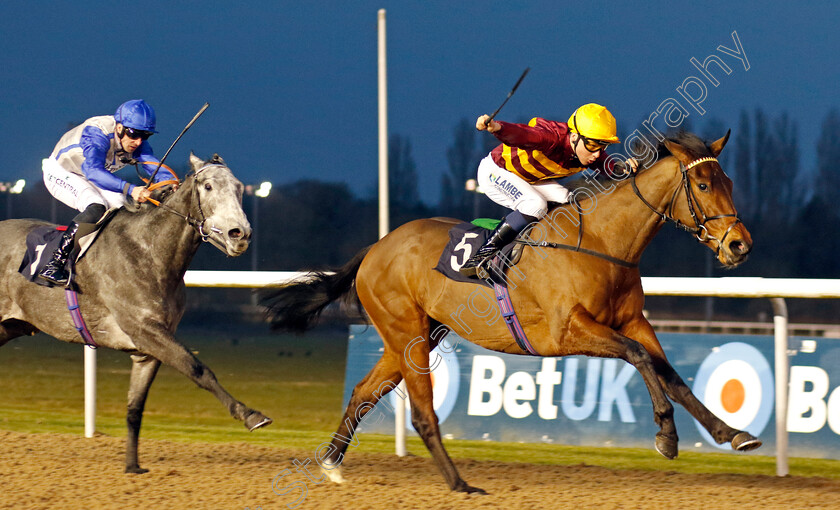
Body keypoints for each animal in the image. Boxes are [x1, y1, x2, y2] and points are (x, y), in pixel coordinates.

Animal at [0, 152, 272, 474]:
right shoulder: (146, 330)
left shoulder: (148, 350)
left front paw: (132, 466)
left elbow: (135, 407)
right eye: (207, 186)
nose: (239, 234)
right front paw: (250, 414)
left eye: (240, 187)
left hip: (8, 326)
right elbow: (198, 369)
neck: (149, 252)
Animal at [264, 131, 760, 494]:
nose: (740, 245)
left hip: (414, 336)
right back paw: (459, 484)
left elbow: (671, 374)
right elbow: (639, 359)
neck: (602, 242)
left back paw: (331, 463)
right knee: (422, 415)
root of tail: (377, 247)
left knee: (363, 394)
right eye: (702, 185)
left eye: (731, 183)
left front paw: (730, 433)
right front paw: (666, 436)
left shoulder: (633, 322)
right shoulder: (568, 331)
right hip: (407, 334)